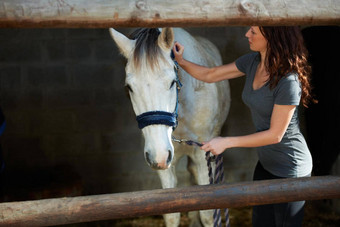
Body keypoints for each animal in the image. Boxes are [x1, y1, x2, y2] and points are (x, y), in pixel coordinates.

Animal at [109, 27, 231, 226]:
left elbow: (207, 211)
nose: (158, 156)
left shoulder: (202, 154)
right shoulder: (166, 161)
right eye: (129, 87)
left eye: (172, 82)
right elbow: (171, 212)